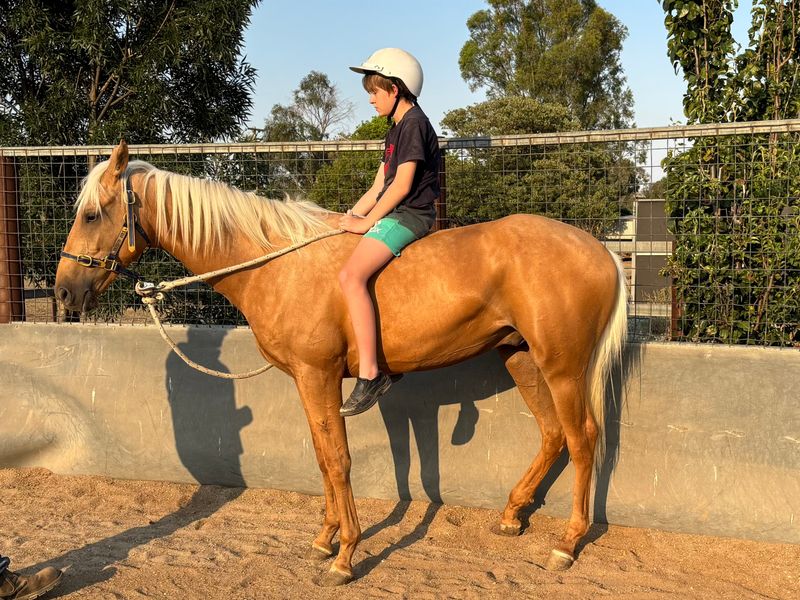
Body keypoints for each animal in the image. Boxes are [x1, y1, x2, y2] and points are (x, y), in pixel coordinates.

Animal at [55, 140, 627, 586]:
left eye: (91, 214)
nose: (63, 291)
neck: (277, 263)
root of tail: (600, 251)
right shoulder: (309, 383)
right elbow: (322, 454)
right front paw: (325, 537)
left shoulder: (319, 376)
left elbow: (338, 459)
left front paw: (346, 552)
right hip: (522, 359)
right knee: (552, 434)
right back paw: (512, 514)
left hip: (563, 368)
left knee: (582, 438)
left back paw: (567, 543)